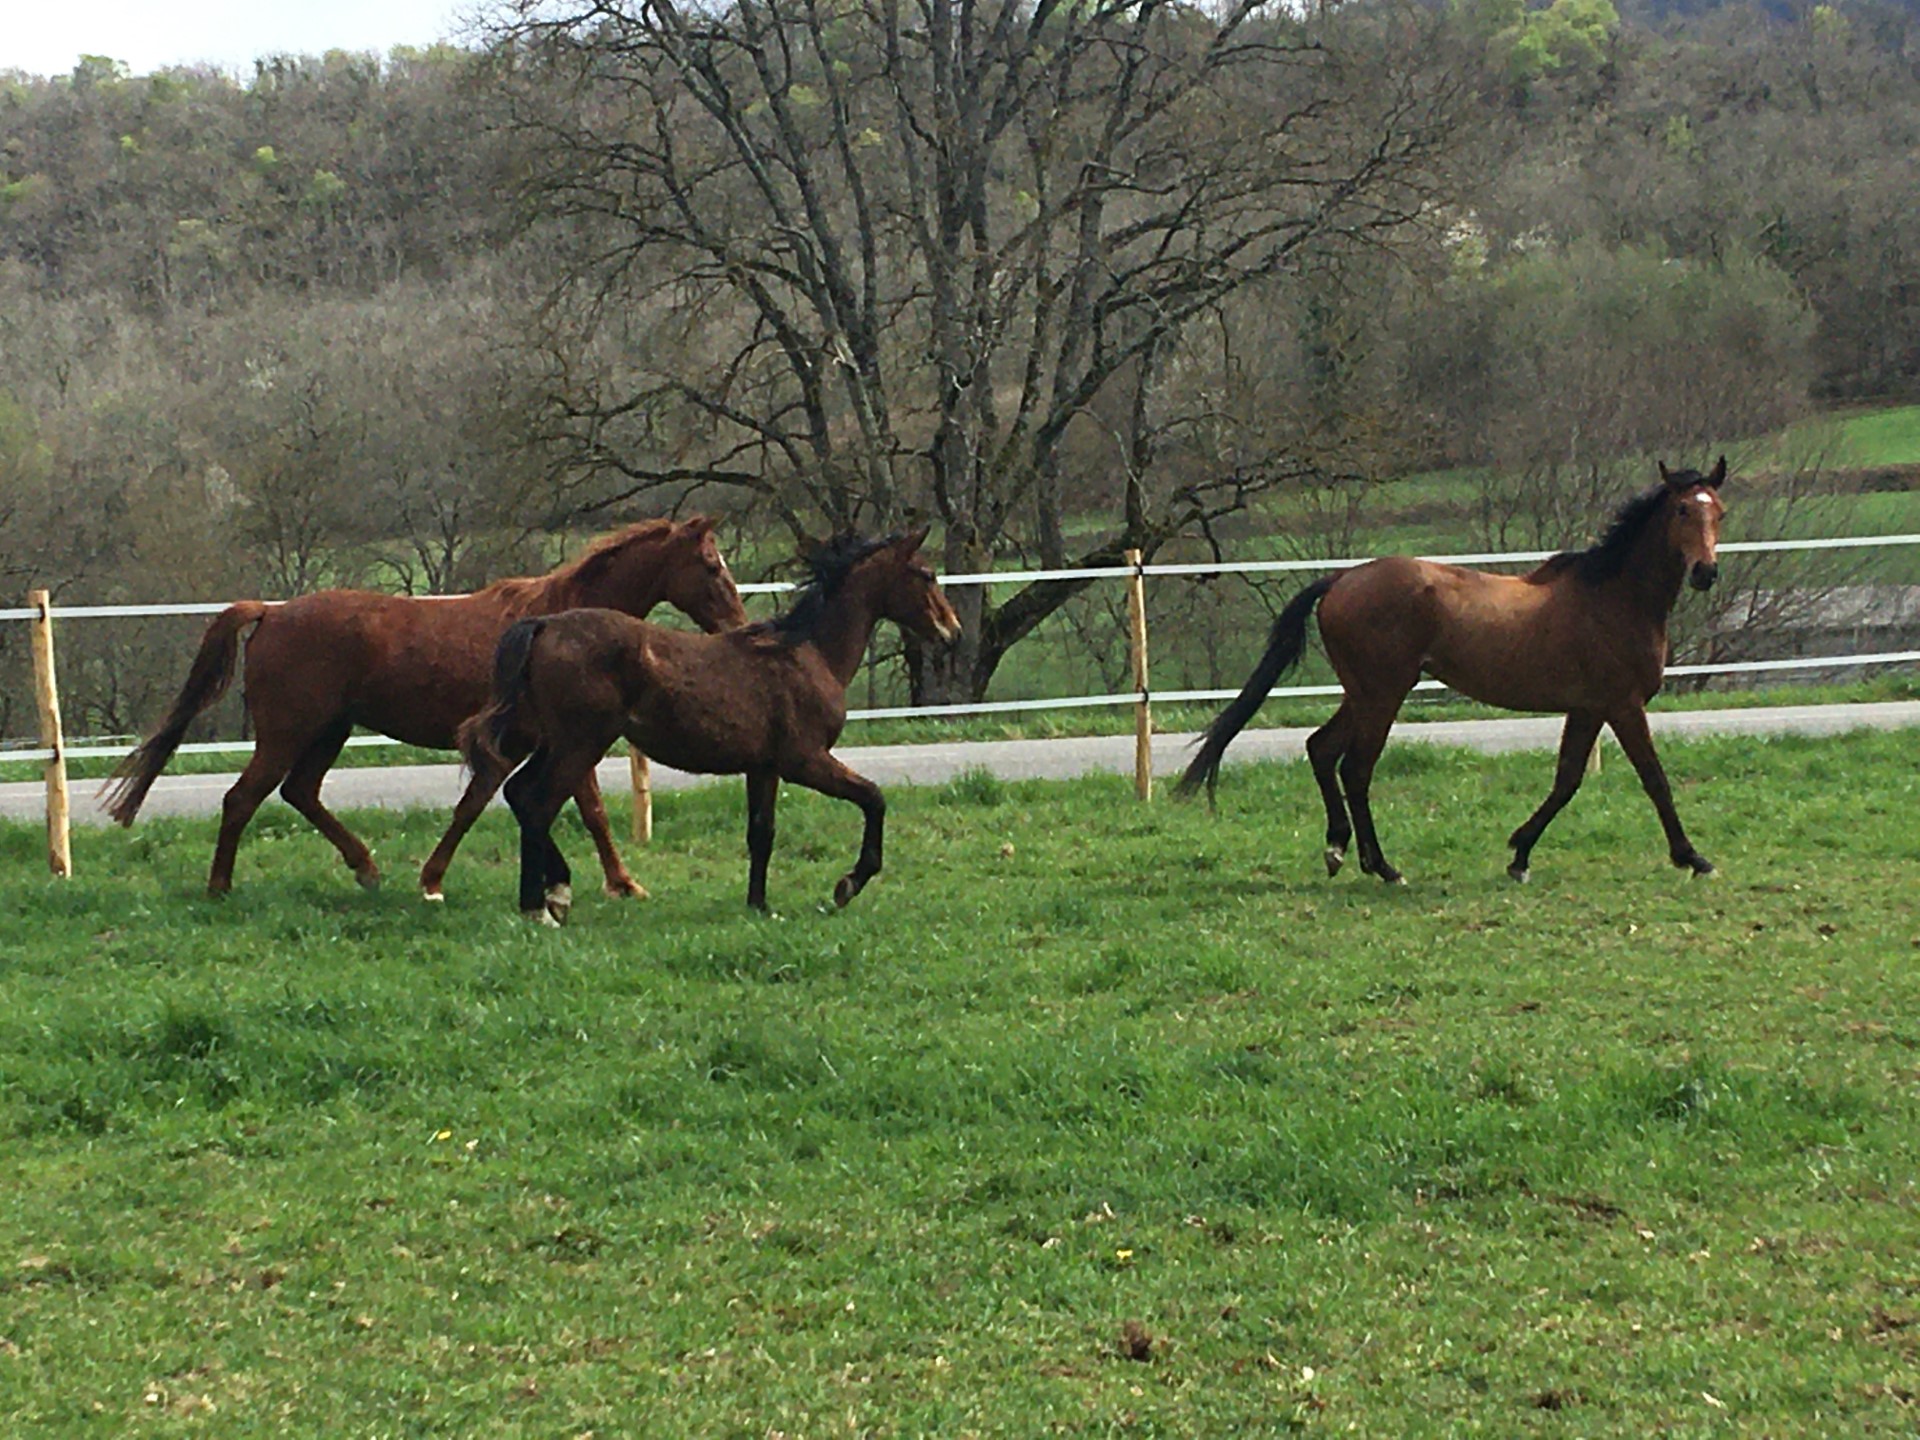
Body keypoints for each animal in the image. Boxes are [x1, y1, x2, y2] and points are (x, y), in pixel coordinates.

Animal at [102, 516, 747, 898]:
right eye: (711, 565)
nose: (737, 625)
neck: (557, 620)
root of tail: (271, 612)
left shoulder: (557, 741)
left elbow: (584, 810)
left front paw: (620, 882)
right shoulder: (542, 741)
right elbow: (495, 804)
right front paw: (435, 881)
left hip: (330, 732)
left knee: (299, 793)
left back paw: (365, 867)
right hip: (287, 733)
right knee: (242, 799)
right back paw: (220, 887)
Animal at [456, 527, 960, 921]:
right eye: (927, 575)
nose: (951, 632)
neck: (809, 651)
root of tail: (544, 624)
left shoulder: (764, 767)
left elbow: (762, 832)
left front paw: (759, 906)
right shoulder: (806, 761)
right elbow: (874, 798)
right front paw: (848, 884)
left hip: (555, 742)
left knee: (520, 794)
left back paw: (551, 897)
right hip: (581, 744)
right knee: (539, 804)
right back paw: (539, 907)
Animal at [1177, 458, 1728, 884]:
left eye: (1718, 511)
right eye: (1682, 509)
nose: (1706, 572)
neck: (1614, 598)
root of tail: (1341, 579)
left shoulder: (1588, 708)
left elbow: (1567, 780)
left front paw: (1519, 854)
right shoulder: (1622, 704)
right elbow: (1654, 779)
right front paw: (1693, 857)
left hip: (1362, 693)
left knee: (1321, 749)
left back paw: (1337, 849)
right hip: (1384, 693)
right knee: (1355, 767)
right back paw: (1382, 867)